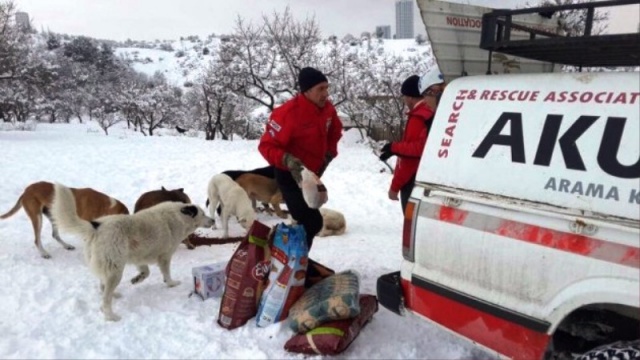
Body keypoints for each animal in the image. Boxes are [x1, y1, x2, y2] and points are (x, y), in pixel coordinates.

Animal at [0, 181, 130, 258]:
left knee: (55, 235)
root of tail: (26, 190)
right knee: (37, 240)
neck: (104, 205)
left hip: (54, 215)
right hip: (37, 217)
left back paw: (66, 245)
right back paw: (44, 253)